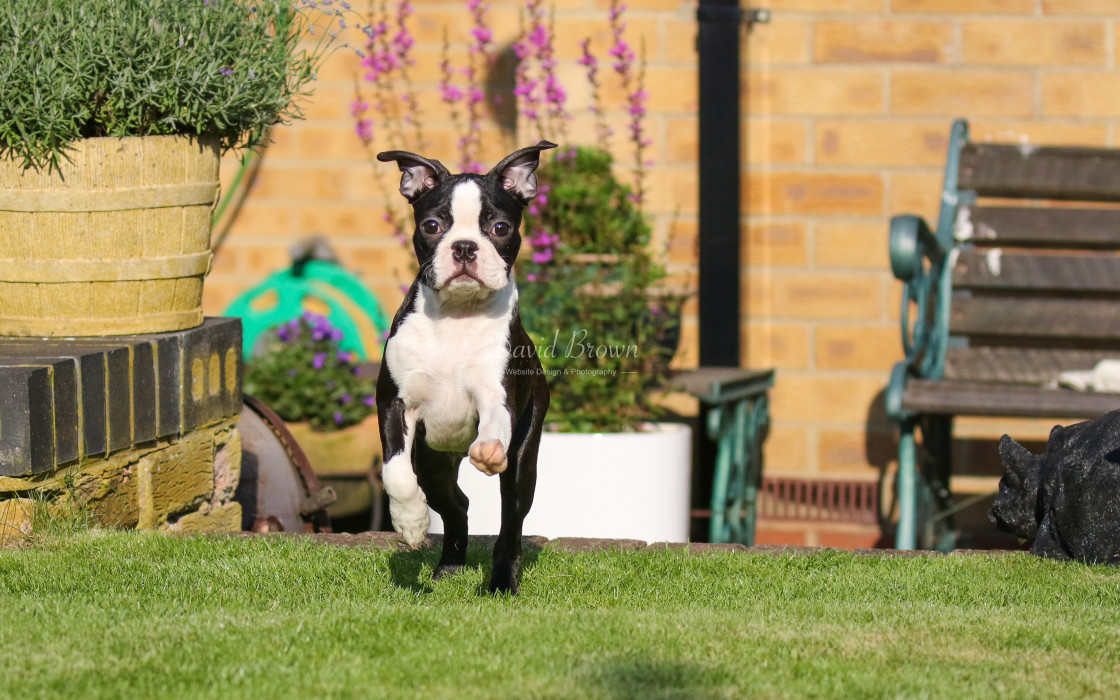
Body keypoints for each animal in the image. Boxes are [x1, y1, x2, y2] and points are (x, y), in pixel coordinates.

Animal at [376, 143, 555, 595]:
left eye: (501, 228)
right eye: (433, 225)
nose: (464, 247)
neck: (457, 315)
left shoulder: (498, 395)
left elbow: (494, 423)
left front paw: (488, 448)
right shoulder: (394, 403)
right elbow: (395, 472)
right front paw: (410, 522)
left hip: (524, 455)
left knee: (512, 519)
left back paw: (501, 581)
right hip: (433, 463)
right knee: (456, 502)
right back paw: (451, 562)